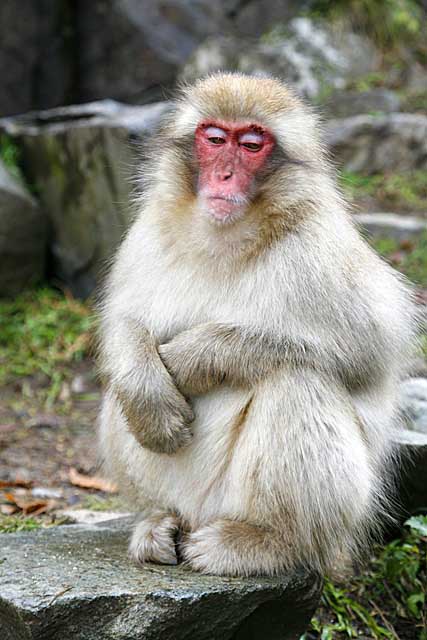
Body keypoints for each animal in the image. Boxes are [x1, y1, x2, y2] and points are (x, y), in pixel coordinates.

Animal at [98, 74, 418, 576]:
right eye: (214, 139)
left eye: (251, 145)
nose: (224, 175)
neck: (226, 236)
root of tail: (198, 515)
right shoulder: (150, 229)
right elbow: (125, 321)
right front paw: (150, 392)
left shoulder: (319, 247)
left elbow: (369, 349)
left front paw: (192, 356)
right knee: (119, 392)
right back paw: (156, 520)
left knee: (296, 381)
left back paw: (268, 542)